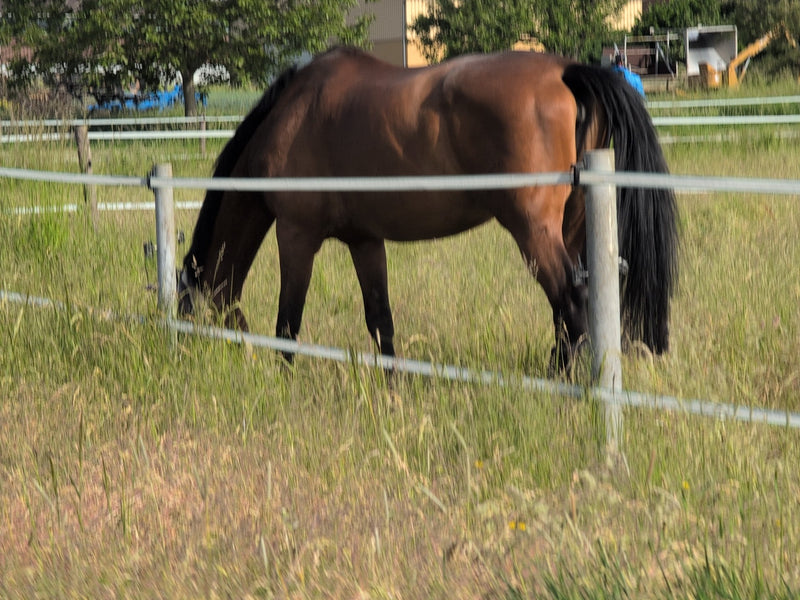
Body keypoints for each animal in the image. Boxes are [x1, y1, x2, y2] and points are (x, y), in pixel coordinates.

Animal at [178, 46, 678, 372]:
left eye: (187, 314)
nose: (185, 360)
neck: (294, 115)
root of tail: (565, 72)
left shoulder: (297, 235)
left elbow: (288, 322)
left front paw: (284, 382)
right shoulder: (365, 241)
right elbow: (380, 321)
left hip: (533, 231)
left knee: (572, 305)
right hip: (571, 230)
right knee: (570, 310)